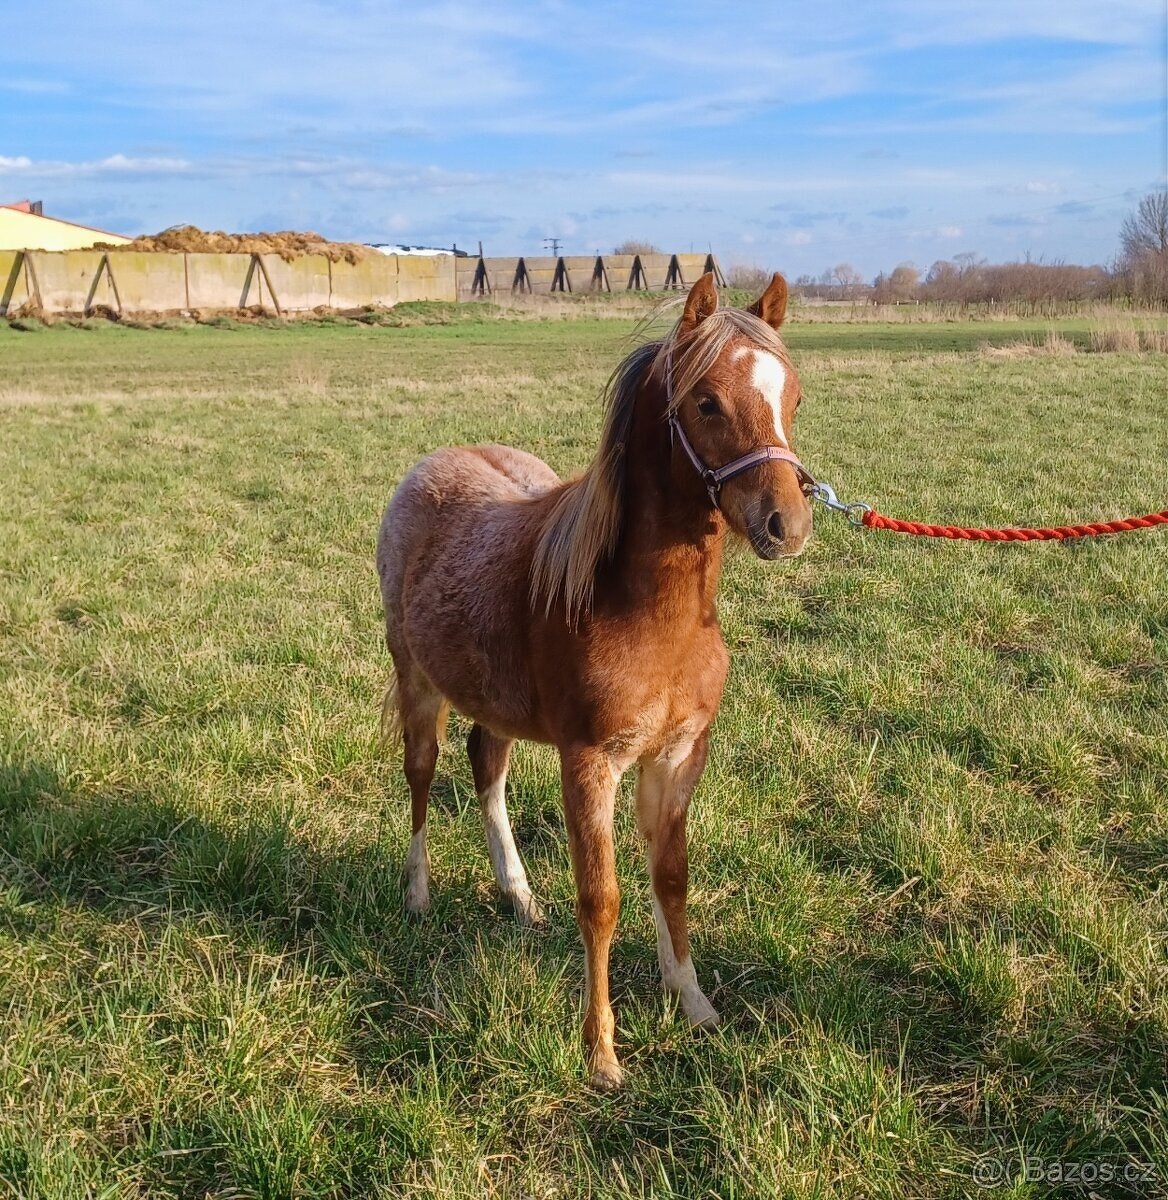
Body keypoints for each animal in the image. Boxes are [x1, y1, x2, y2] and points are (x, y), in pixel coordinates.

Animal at [377, 272, 814, 1089]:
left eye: (793, 397)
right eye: (707, 402)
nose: (787, 525)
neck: (645, 611)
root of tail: (432, 463)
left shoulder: (676, 756)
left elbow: (670, 878)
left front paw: (694, 1004)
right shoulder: (590, 763)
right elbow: (602, 899)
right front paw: (601, 1052)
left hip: (497, 705)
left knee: (487, 771)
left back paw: (518, 897)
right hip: (417, 680)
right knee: (421, 775)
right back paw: (417, 895)